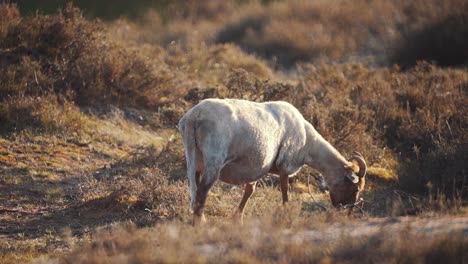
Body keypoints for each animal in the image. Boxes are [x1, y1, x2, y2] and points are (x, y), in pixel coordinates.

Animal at [177, 98, 368, 224]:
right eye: (356, 188)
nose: (346, 212)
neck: (309, 143)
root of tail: (194, 117)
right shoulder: (285, 165)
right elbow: (285, 191)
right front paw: (286, 215)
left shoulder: (257, 167)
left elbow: (250, 190)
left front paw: (237, 218)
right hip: (214, 158)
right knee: (202, 191)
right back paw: (201, 223)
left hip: (194, 157)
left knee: (196, 188)